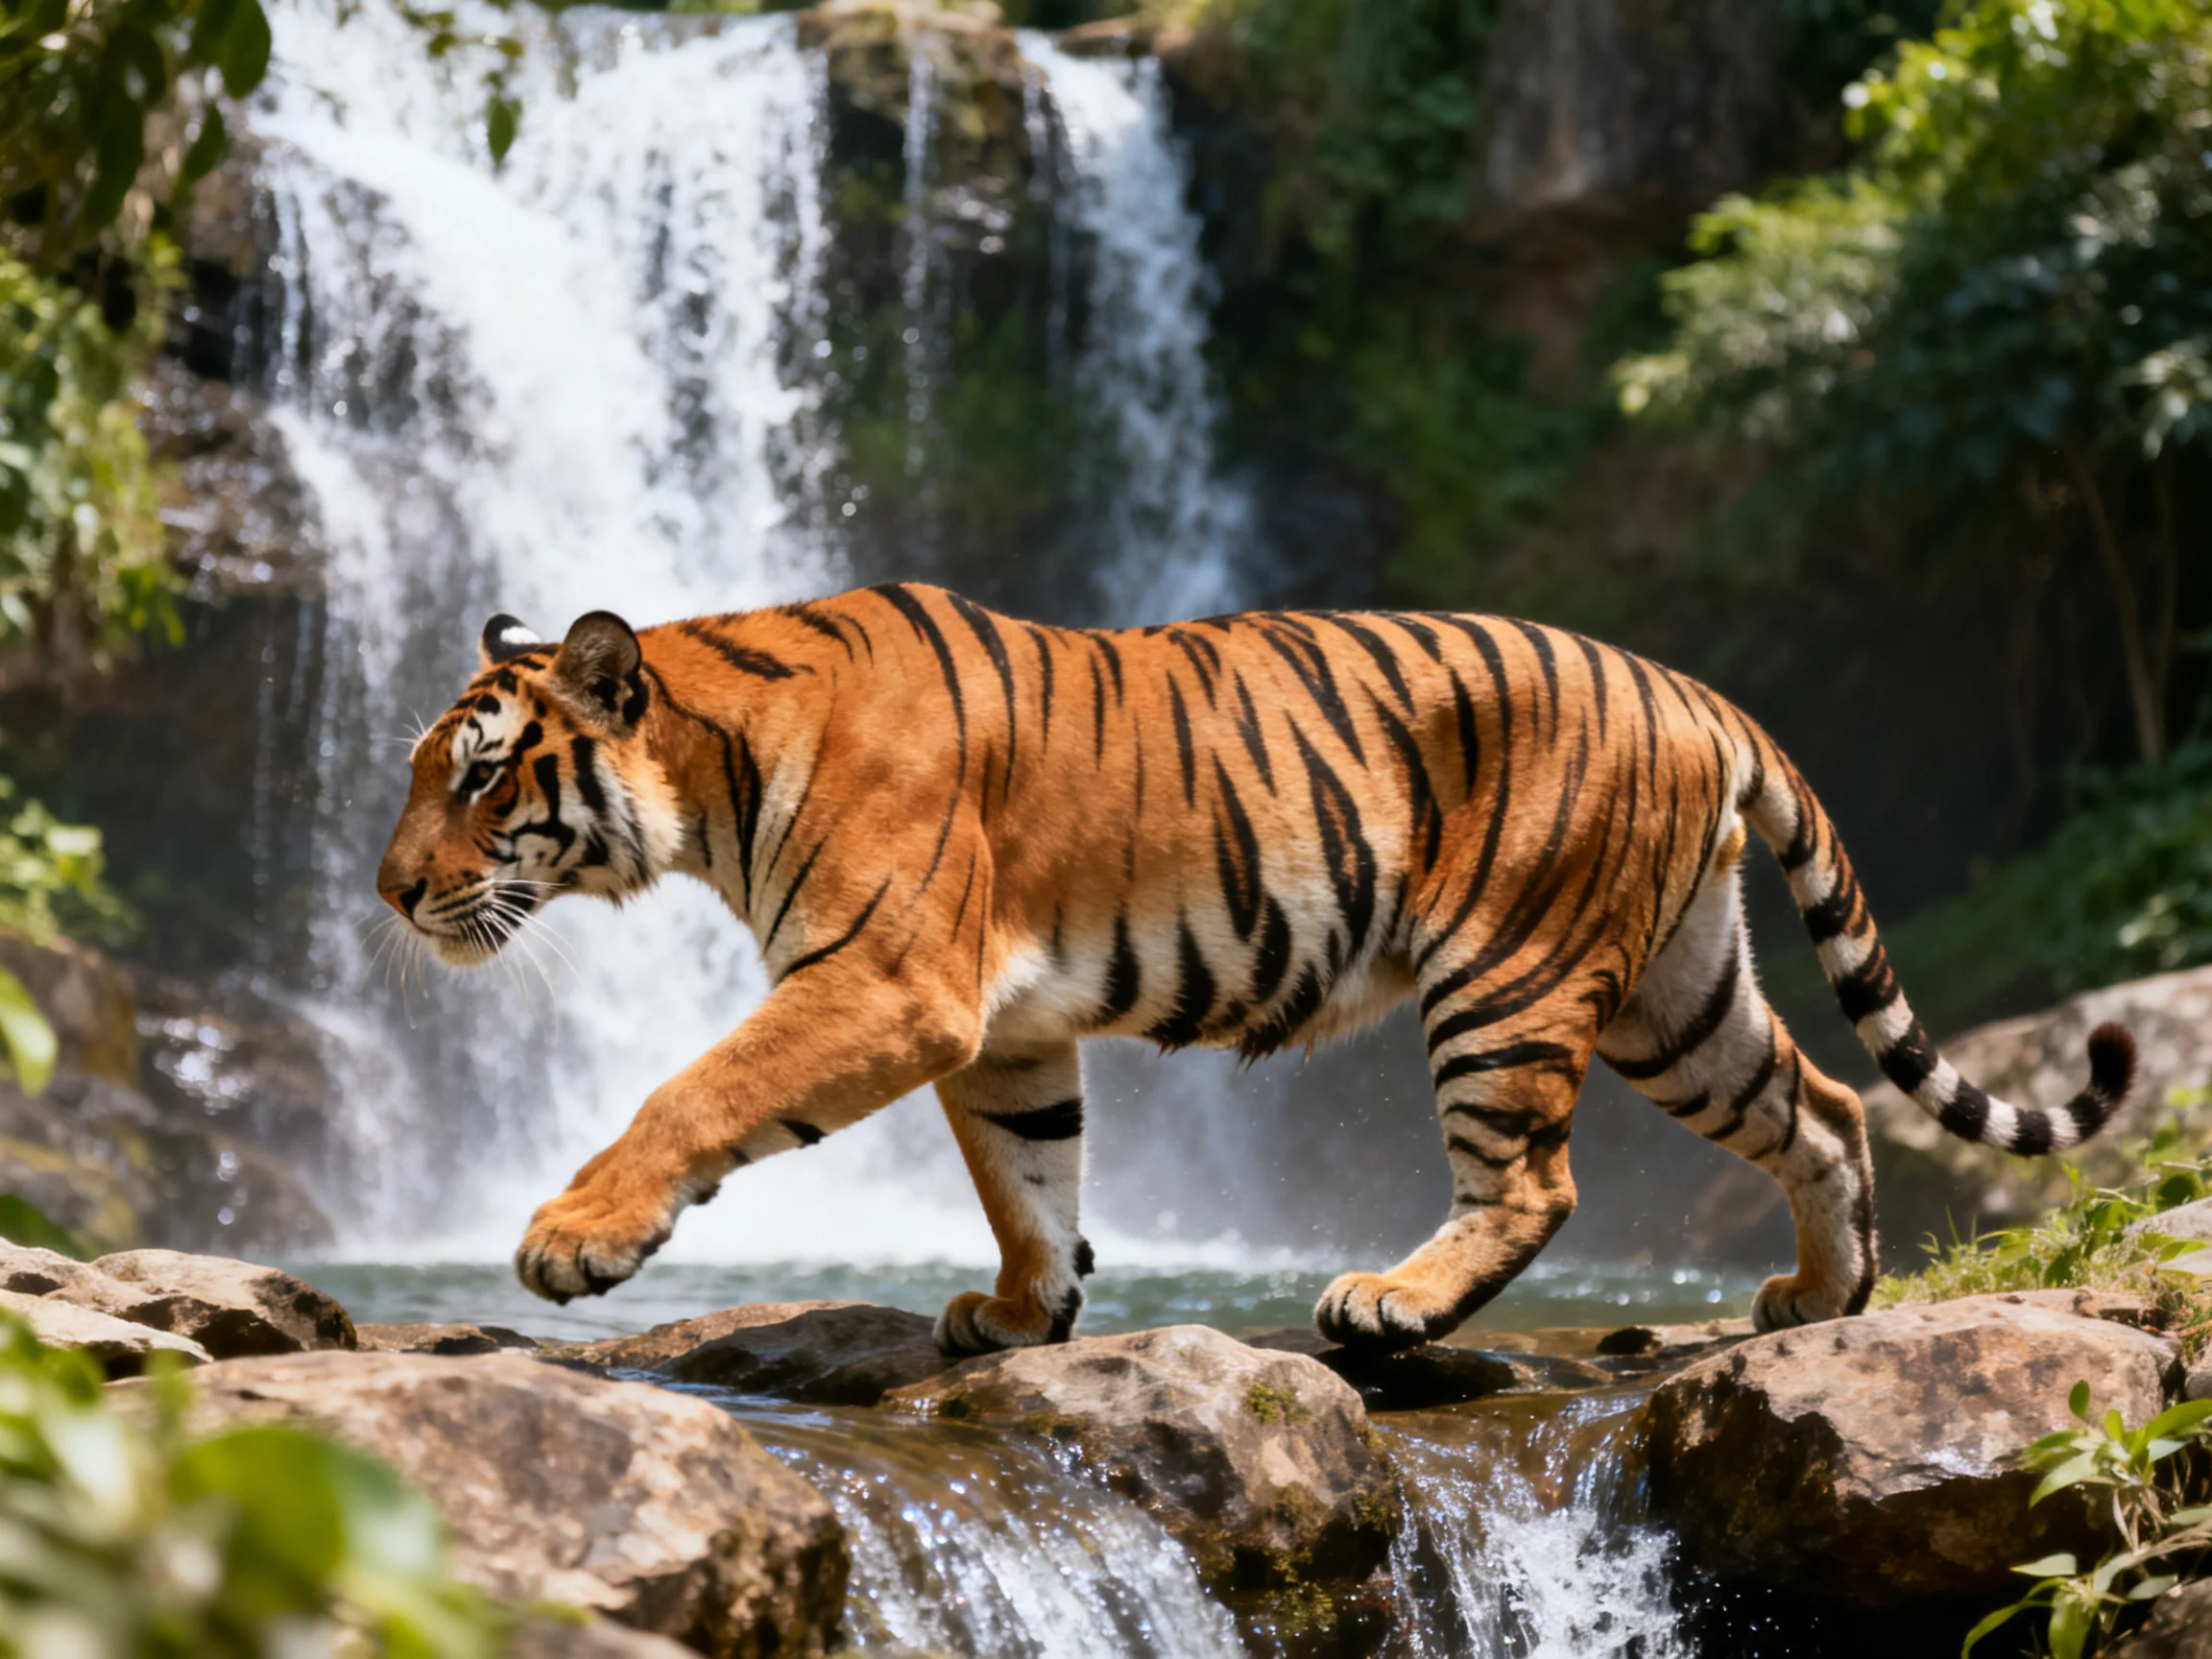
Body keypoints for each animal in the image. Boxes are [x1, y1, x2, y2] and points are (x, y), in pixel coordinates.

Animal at [375, 584, 2135, 1355]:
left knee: (1534, 1182)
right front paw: (1022, 1311)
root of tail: (1691, 686)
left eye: (478, 775)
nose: (388, 893)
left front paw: (571, 1240)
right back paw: (1817, 1299)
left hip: (1510, 975)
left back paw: (1390, 1298)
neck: (710, 773)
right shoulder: (1000, 1028)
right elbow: (1030, 1176)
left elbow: (690, 1090)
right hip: (1675, 997)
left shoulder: (883, 982)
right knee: (1826, 1106)